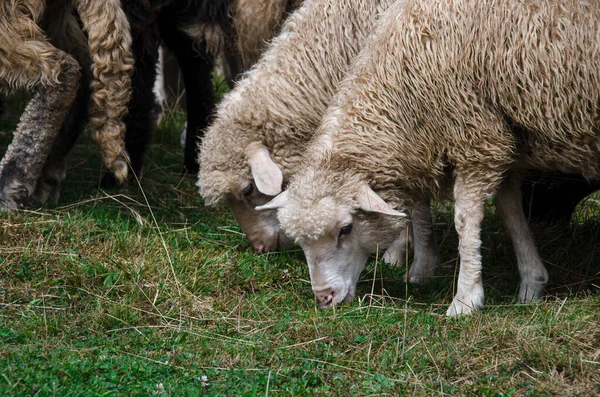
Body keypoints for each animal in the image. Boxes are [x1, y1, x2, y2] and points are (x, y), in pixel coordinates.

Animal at [262, 0, 600, 316]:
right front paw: (532, 284)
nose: (324, 298)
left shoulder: (476, 137)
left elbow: (466, 221)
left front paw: (465, 299)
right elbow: (511, 212)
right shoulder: (501, 138)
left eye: (345, 229)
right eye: (300, 241)